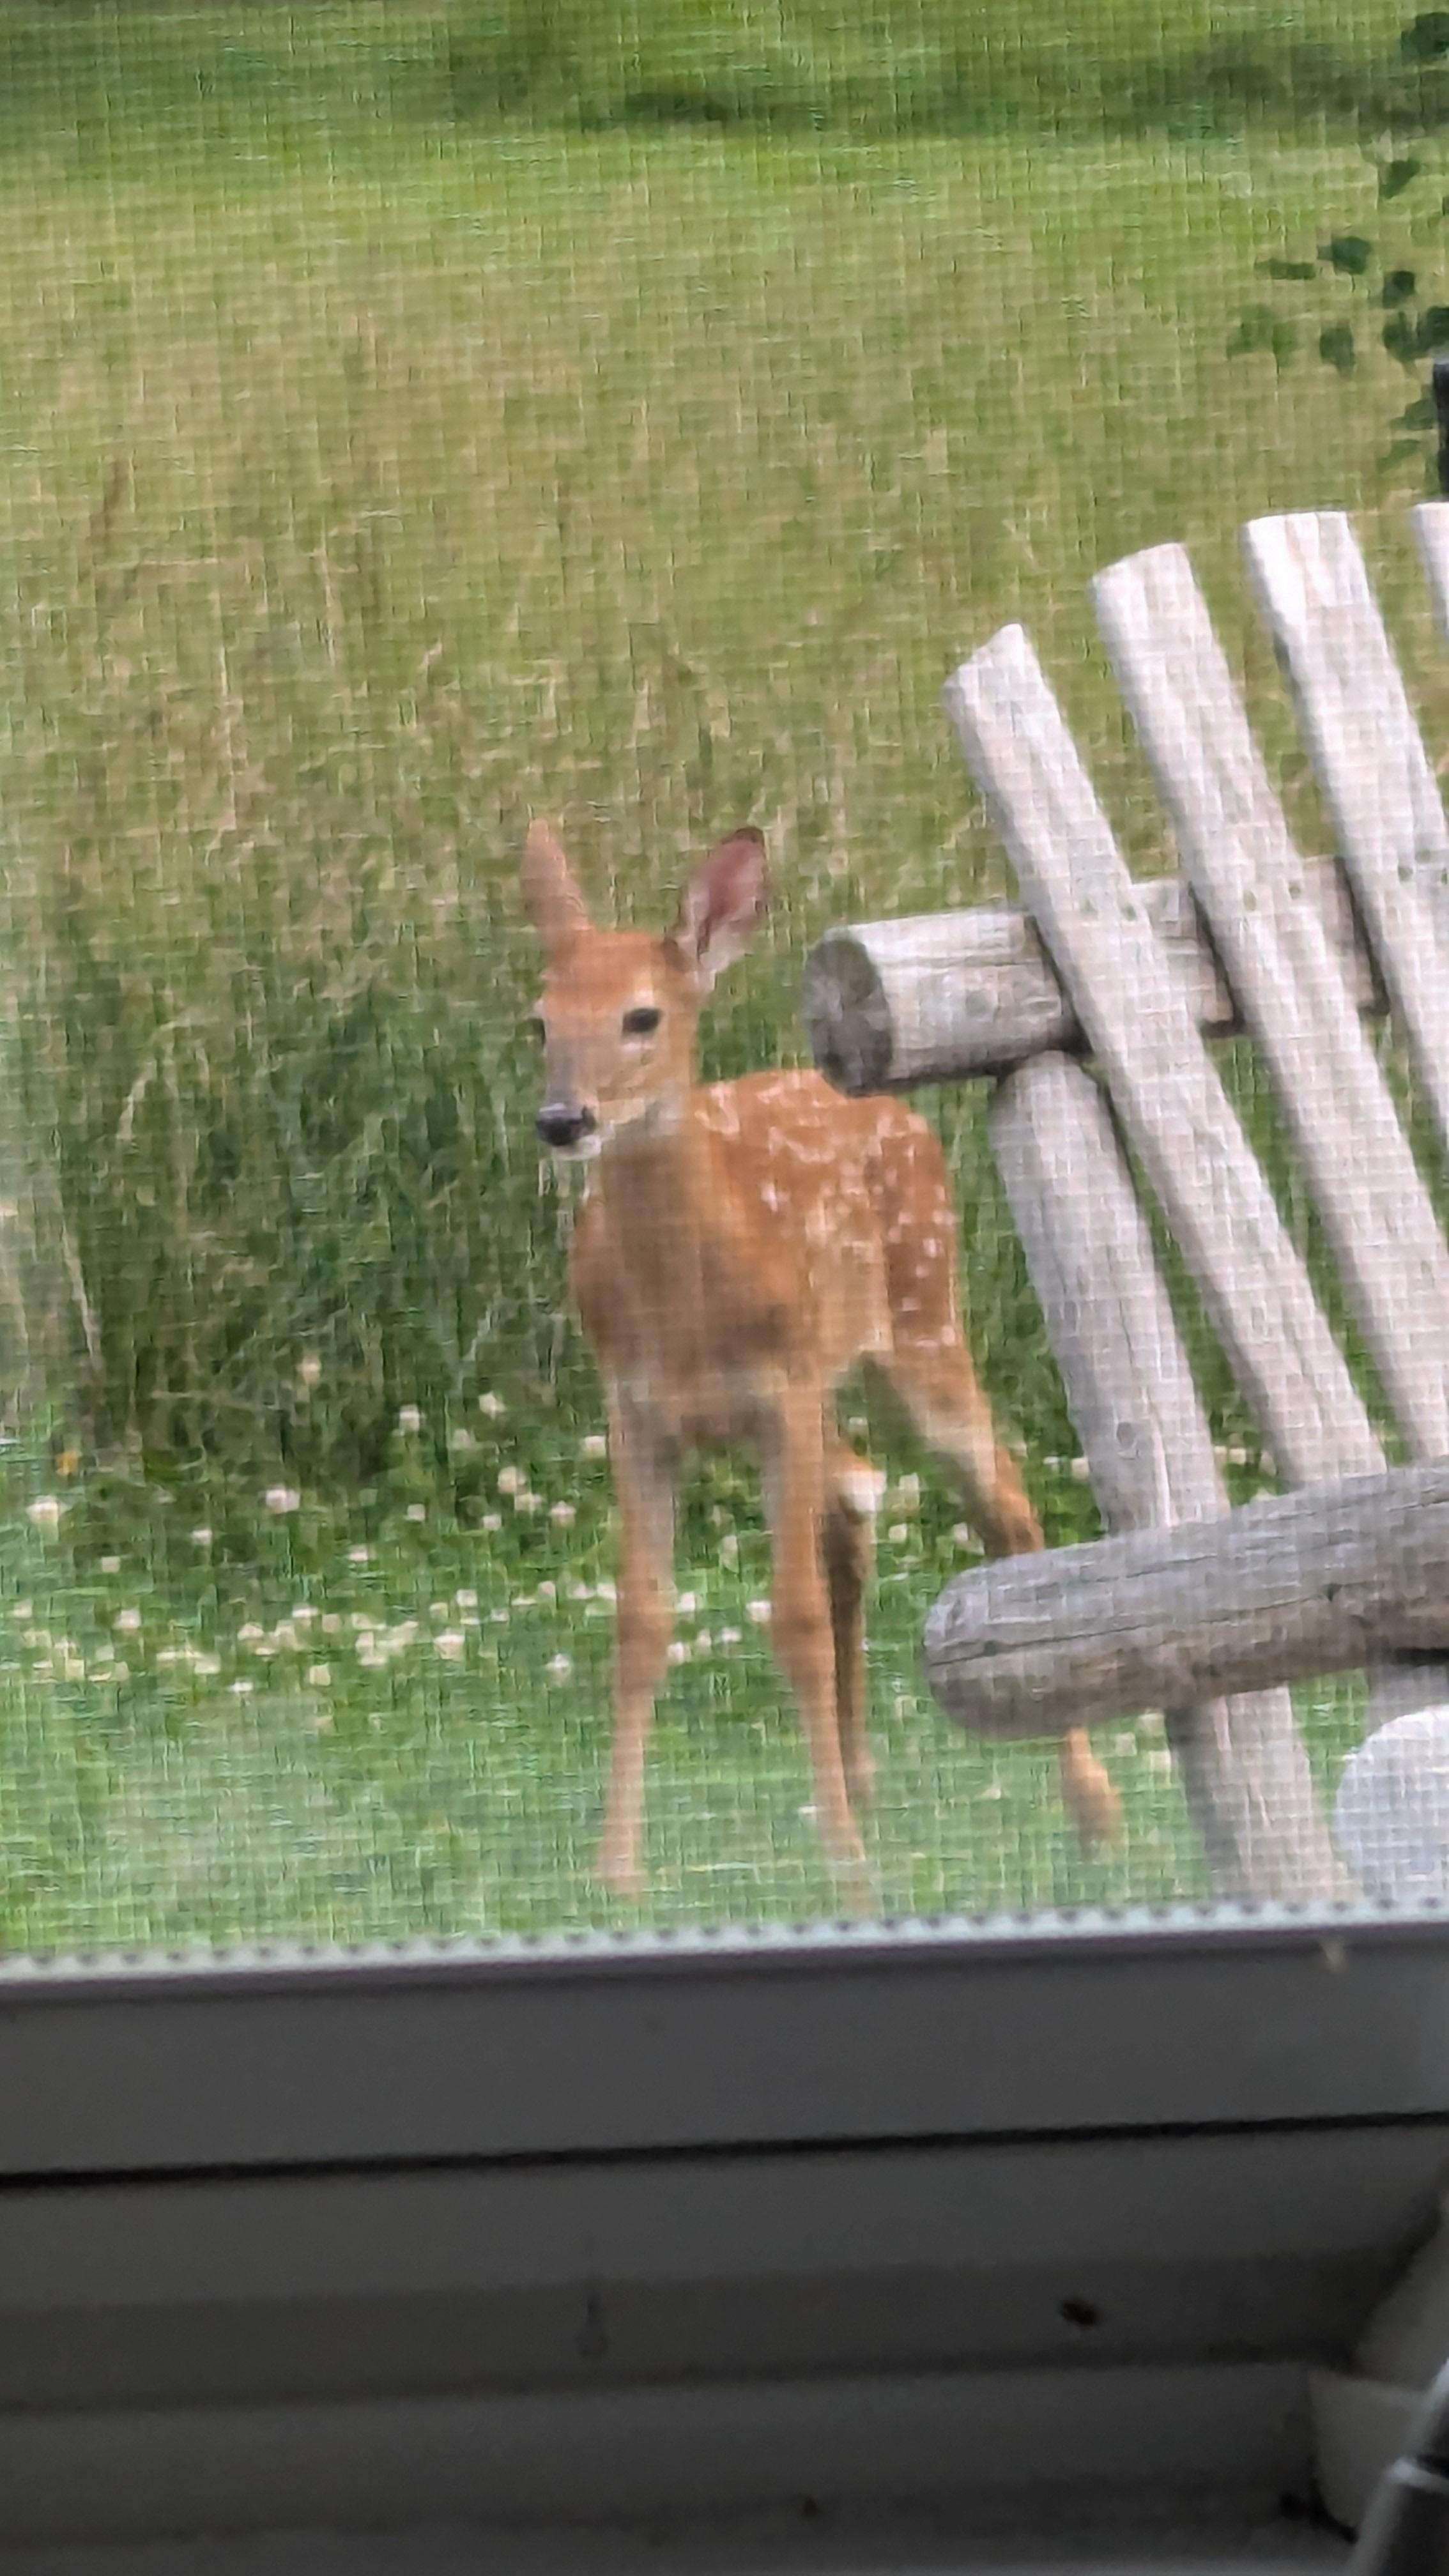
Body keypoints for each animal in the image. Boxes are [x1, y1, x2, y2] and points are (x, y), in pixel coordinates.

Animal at [522, 819, 1121, 1898]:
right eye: (539, 1024)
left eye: (642, 1016)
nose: (563, 1120)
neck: (689, 1304)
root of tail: (892, 1107)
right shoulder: (634, 1409)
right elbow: (640, 1623)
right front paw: (616, 1871)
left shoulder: (783, 1392)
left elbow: (794, 1622)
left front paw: (847, 1875)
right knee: (860, 1497)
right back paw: (862, 1785)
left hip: (924, 1319)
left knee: (1005, 1504)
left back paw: (1092, 1812)